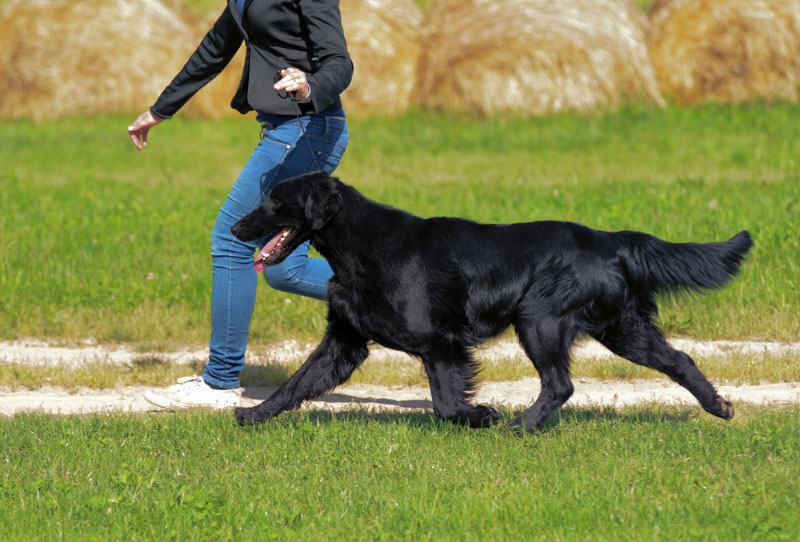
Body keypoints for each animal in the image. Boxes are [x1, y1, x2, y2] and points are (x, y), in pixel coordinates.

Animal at [230, 172, 752, 436]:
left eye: (274, 201)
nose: (235, 227)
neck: (362, 248)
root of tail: (608, 239)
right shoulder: (344, 342)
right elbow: (296, 383)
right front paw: (252, 415)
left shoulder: (440, 342)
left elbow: (444, 403)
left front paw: (481, 416)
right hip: (621, 328)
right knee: (680, 359)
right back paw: (719, 407)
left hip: (539, 320)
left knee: (560, 384)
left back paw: (520, 427)